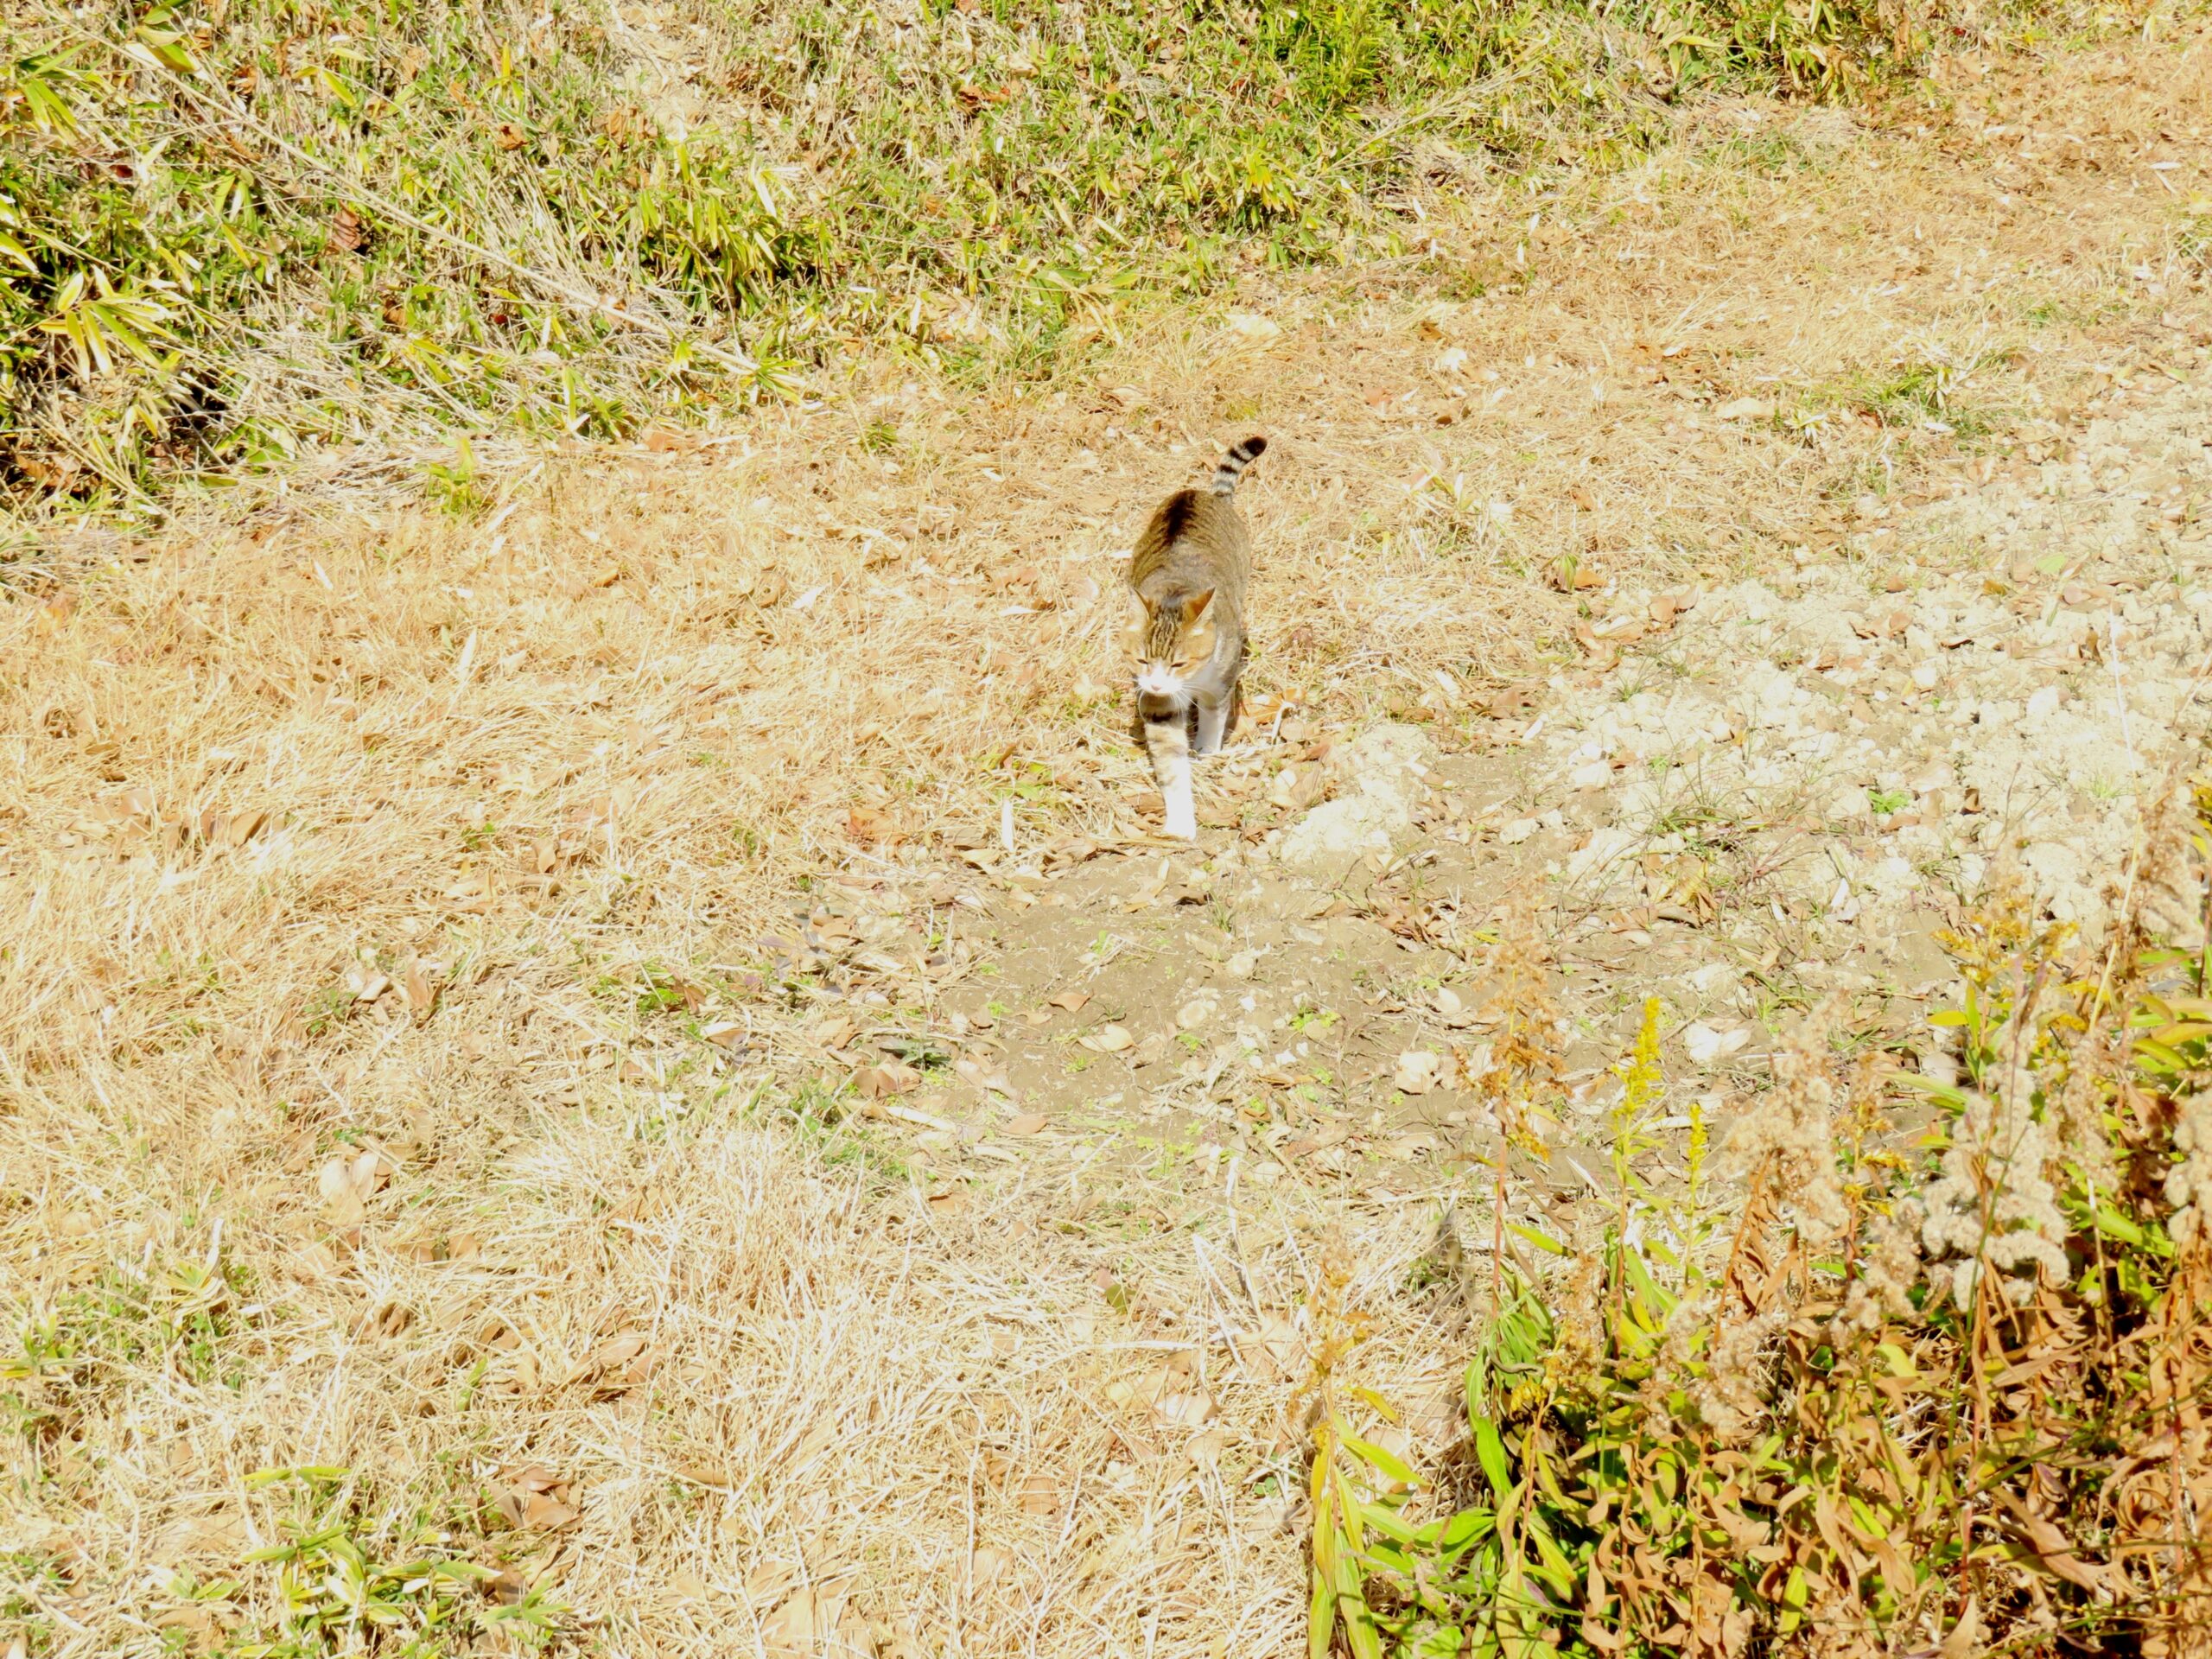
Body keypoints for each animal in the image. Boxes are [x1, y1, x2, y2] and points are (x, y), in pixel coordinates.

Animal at [1123, 437, 1265, 844]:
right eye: (1141, 660)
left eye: (1179, 662)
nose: (1156, 683)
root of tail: (1204, 494)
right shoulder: (1158, 704)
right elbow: (1171, 765)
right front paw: (1181, 821)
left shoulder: (1222, 679)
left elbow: (1214, 716)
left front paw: (1207, 749)